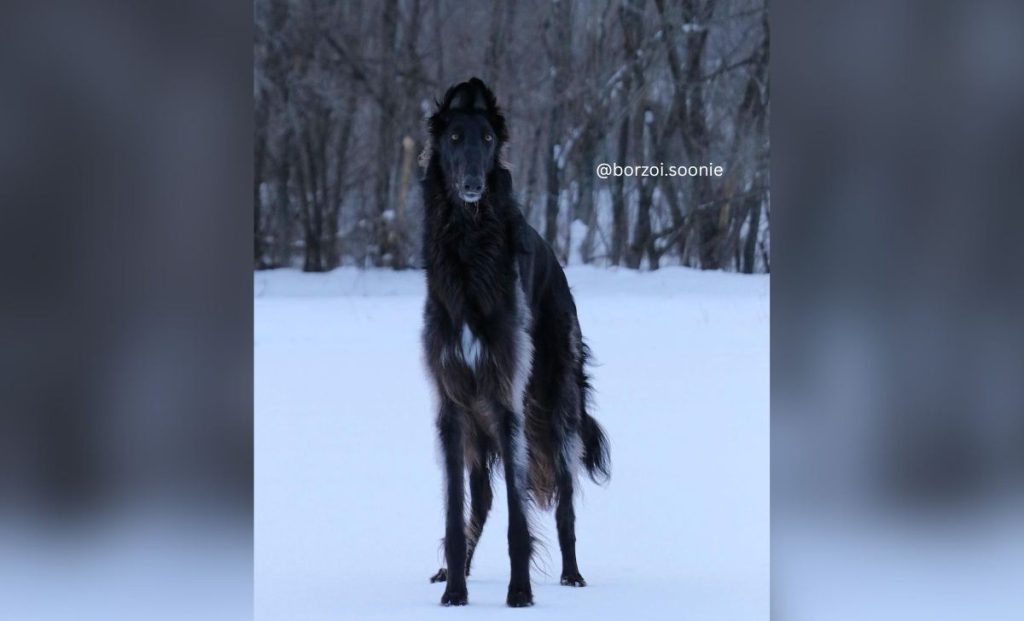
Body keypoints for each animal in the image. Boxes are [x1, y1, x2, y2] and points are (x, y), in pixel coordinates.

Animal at [421, 77, 606, 606]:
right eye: (454, 138)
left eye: (486, 140)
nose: (472, 186)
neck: (468, 251)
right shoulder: (452, 407)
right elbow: (455, 511)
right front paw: (455, 591)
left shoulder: (507, 403)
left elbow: (519, 520)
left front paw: (519, 592)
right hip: (477, 429)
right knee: (480, 499)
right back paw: (455, 569)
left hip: (556, 406)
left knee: (564, 501)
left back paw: (572, 574)